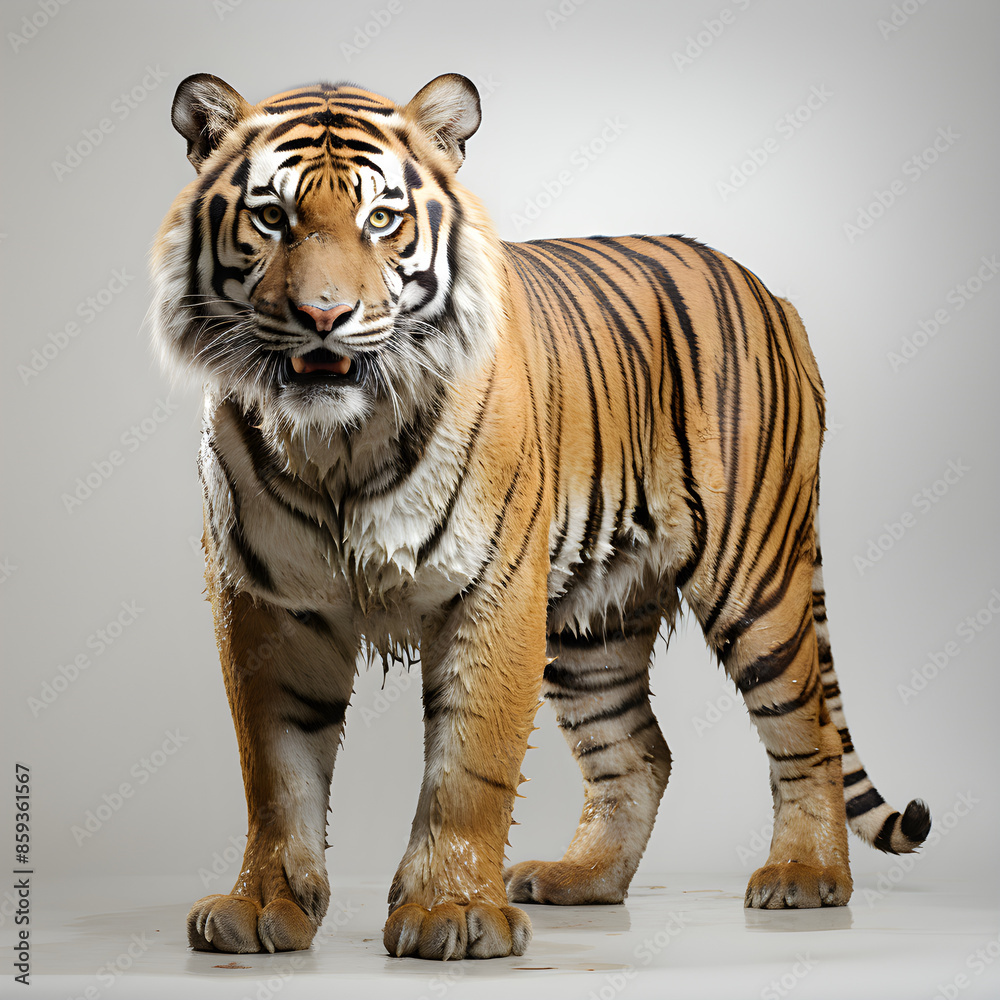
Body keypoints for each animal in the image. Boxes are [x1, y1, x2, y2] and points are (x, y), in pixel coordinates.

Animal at [150, 72, 931, 961]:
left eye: (381, 219)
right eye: (272, 217)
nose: (324, 316)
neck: (338, 443)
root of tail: (773, 293)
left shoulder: (492, 588)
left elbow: (469, 764)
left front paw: (450, 912)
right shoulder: (267, 602)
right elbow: (276, 769)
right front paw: (262, 907)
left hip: (754, 577)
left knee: (807, 729)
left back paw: (806, 874)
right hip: (594, 622)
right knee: (639, 752)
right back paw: (582, 879)